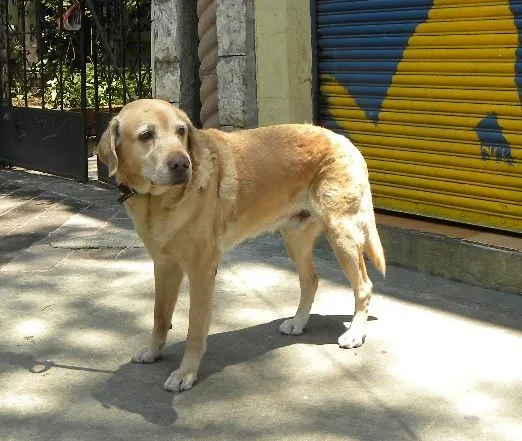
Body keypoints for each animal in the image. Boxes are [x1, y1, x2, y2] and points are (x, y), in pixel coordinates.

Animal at [96, 98, 382, 390]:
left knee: (363, 286)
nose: (182, 164)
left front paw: (186, 372)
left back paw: (355, 333)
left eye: (181, 132)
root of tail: (343, 140)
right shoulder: (164, 266)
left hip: (341, 233)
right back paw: (298, 322)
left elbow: (194, 329)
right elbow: (160, 316)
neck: (157, 200)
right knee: (310, 280)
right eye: (146, 135)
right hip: (295, 236)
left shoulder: (201, 272)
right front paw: (154, 351)